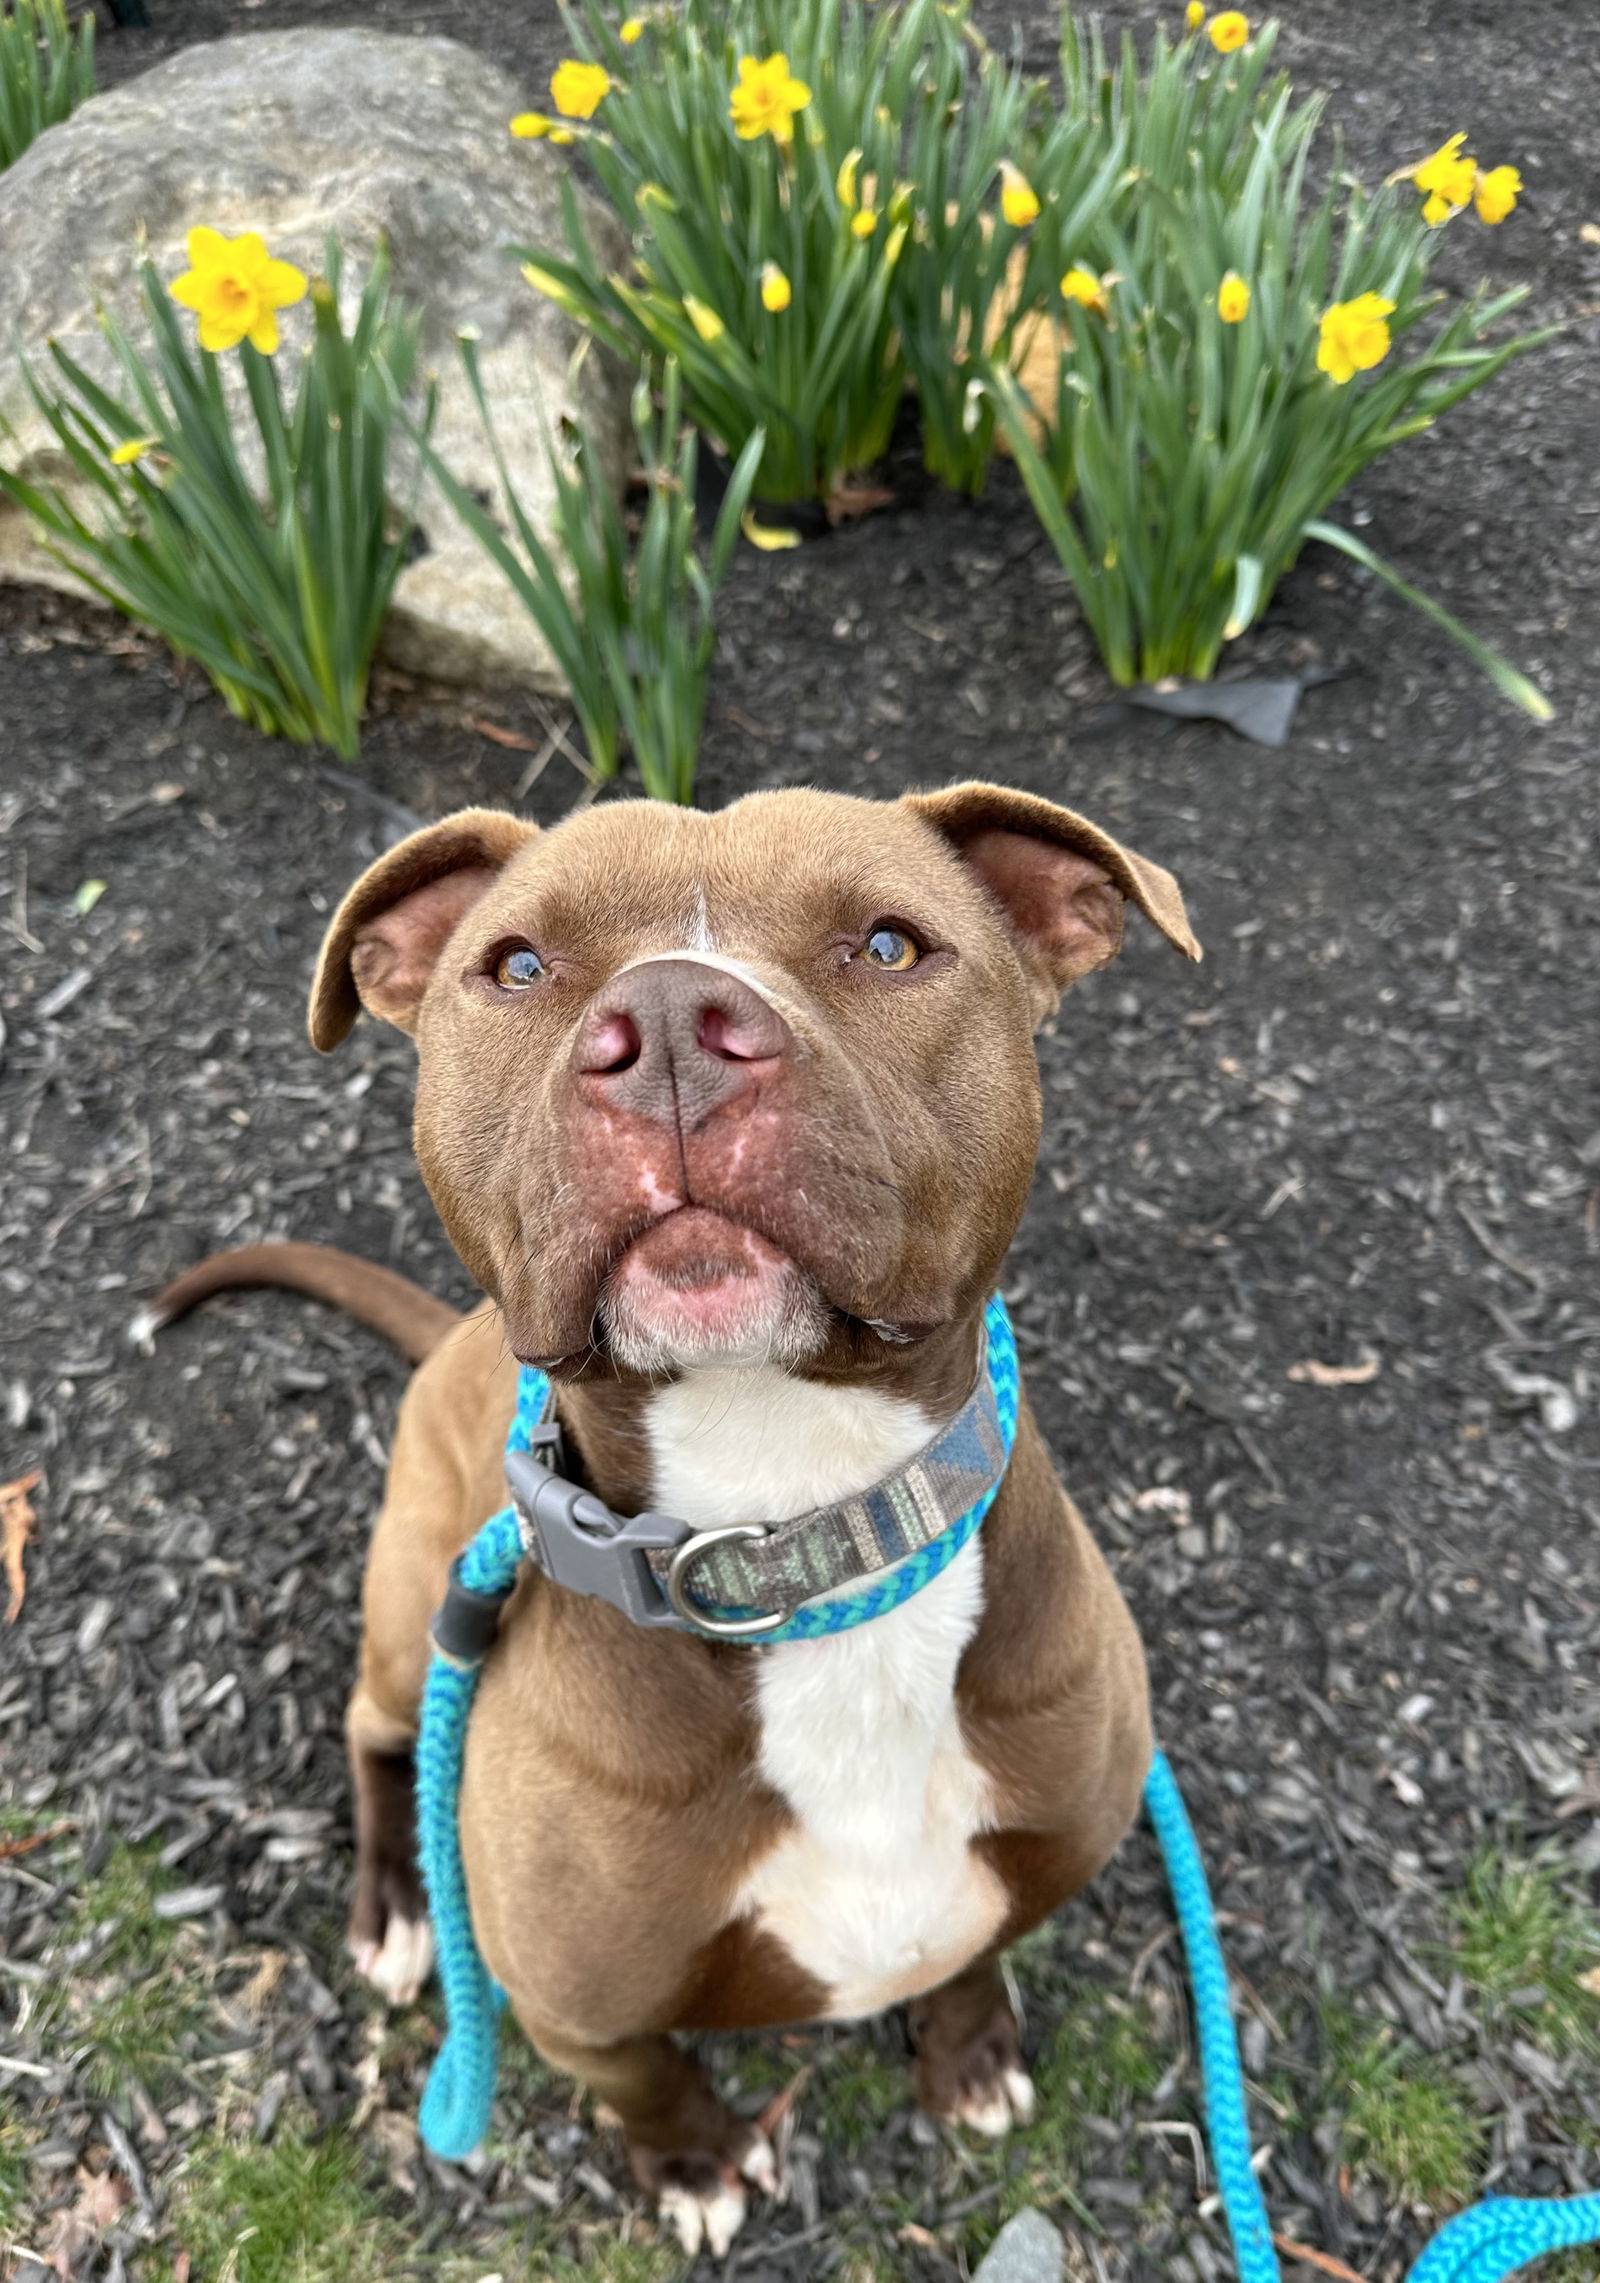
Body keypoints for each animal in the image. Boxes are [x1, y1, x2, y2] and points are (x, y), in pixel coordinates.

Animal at [149, 780, 1196, 2246]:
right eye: (517, 965)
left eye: (889, 944)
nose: (665, 1028)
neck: (793, 1522)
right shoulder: (574, 2008)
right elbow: (648, 2080)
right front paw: (697, 2160)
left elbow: (974, 1943)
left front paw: (970, 2046)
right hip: (416, 1595)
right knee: (374, 1726)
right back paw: (397, 1906)